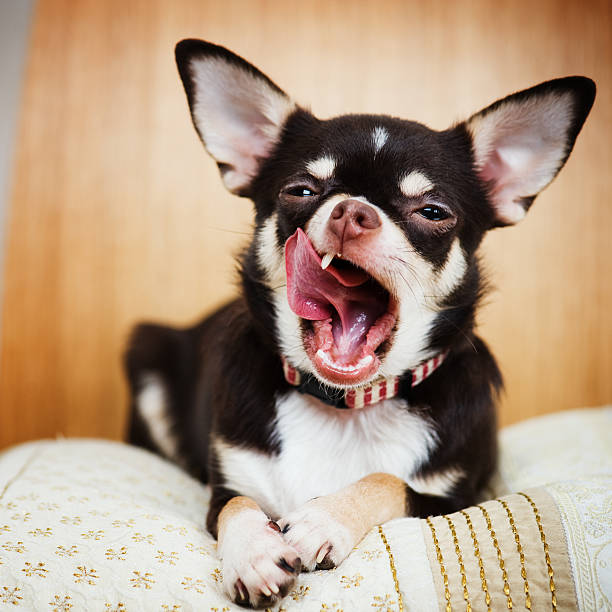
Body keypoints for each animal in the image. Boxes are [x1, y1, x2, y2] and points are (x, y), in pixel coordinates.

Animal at [122, 39, 596, 608]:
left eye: (433, 211)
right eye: (301, 191)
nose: (351, 211)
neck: (347, 408)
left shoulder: (461, 498)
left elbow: (386, 481)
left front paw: (323, 519)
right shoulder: (226, 488)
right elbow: (239, 505)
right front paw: (253, 553)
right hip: (147, 352)